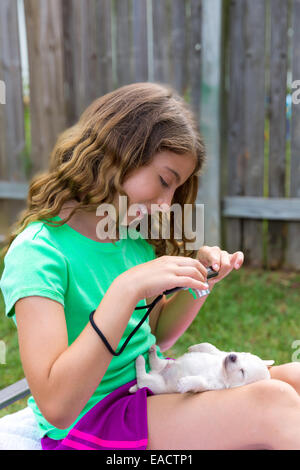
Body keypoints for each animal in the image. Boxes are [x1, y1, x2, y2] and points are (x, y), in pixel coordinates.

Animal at [129, 342, 274, 392]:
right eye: (244, 355)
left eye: (242, 372)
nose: (233, 356)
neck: (221, 371)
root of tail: (155, 372)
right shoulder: (219, 354)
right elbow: (210, 346)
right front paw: (194, 347)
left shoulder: (212, 386)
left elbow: (200, 382)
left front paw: (186, 383)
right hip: (167, 363)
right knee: (157, 363)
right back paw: (152, 352)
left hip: (156, 384)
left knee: (142, 378)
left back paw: (140, 360)